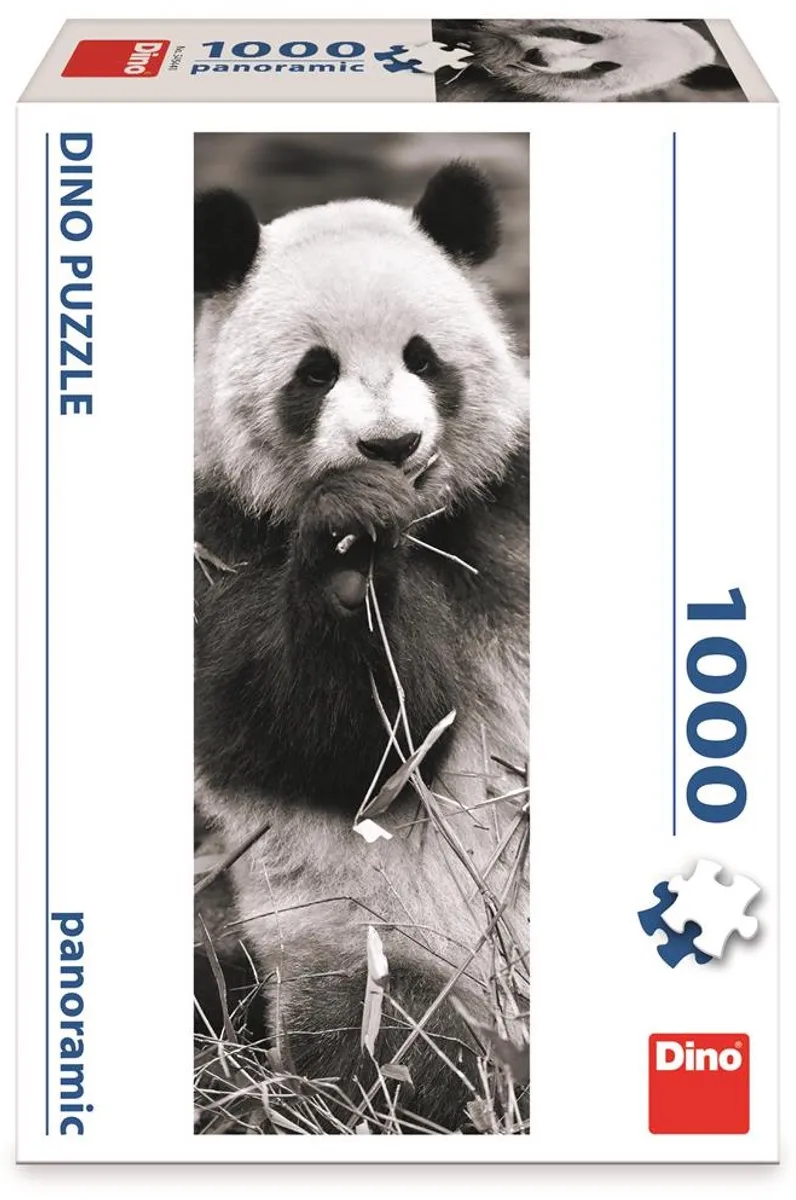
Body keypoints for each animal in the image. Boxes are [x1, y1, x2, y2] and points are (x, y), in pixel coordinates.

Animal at [194, 161, 529, 1132]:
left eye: (424, 356)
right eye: (315, 371)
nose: (390, 445)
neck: (428, 523)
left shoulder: (515, 504)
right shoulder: (218, 545)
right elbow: (342, 746)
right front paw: (350, 559)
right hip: (370, 945)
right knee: (401, 1047)